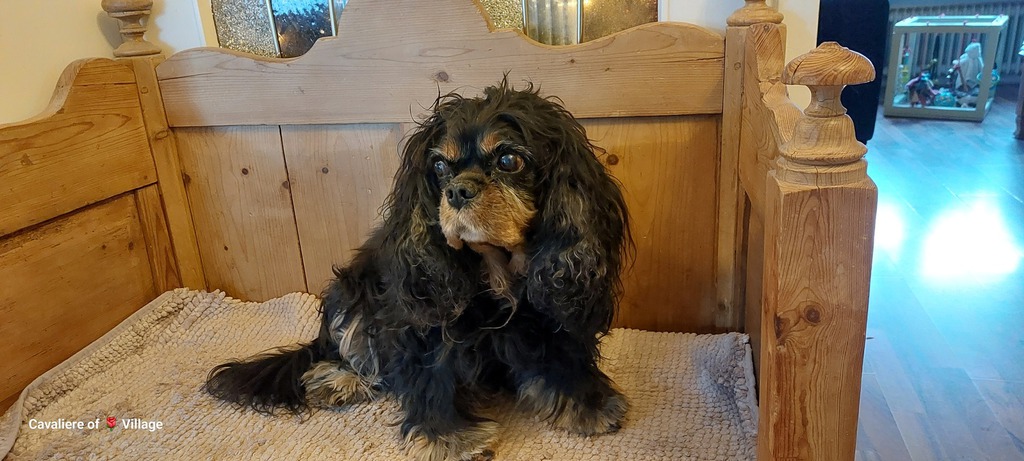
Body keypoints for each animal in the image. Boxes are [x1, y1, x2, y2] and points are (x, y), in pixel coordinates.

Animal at [205, 79, 632, 461]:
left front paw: (587, 404)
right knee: (354, 348)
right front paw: (449, 438)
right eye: (439, 165)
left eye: (509, 160)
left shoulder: (548, 308)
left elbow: (563, 352)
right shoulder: (426, 321)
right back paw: (340, 379)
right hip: (351, 290)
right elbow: (433, 371)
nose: (457, 191)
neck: (497, 269)